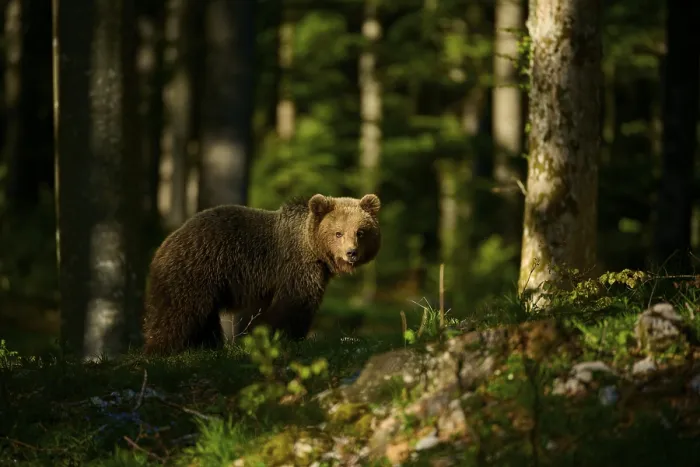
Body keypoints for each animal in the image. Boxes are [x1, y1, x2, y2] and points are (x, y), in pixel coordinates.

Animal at [142, 193, 382, 355]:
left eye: (360, 232)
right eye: (338, 233)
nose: (351, 253)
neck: (313, 248)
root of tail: (165, 244)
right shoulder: (298, 267)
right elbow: (295, 304)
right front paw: (288, 337)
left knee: (204, 318)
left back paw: (208, 346)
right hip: (194, 273)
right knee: (178, 313)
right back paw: (160, 349)